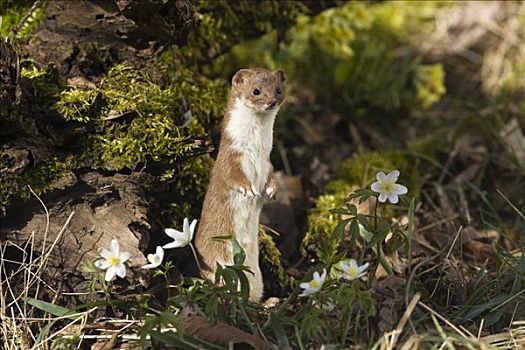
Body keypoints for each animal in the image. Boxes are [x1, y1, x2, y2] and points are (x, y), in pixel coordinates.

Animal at [194, 67, 284, 300]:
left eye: (278, 90)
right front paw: (247, 188)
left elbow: (271, 177)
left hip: (257, 278)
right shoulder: (230, 157)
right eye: (256, 90)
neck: (256, 152)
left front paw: (271, 190)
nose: (271, 101)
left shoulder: (268, 163)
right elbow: (232, 176)